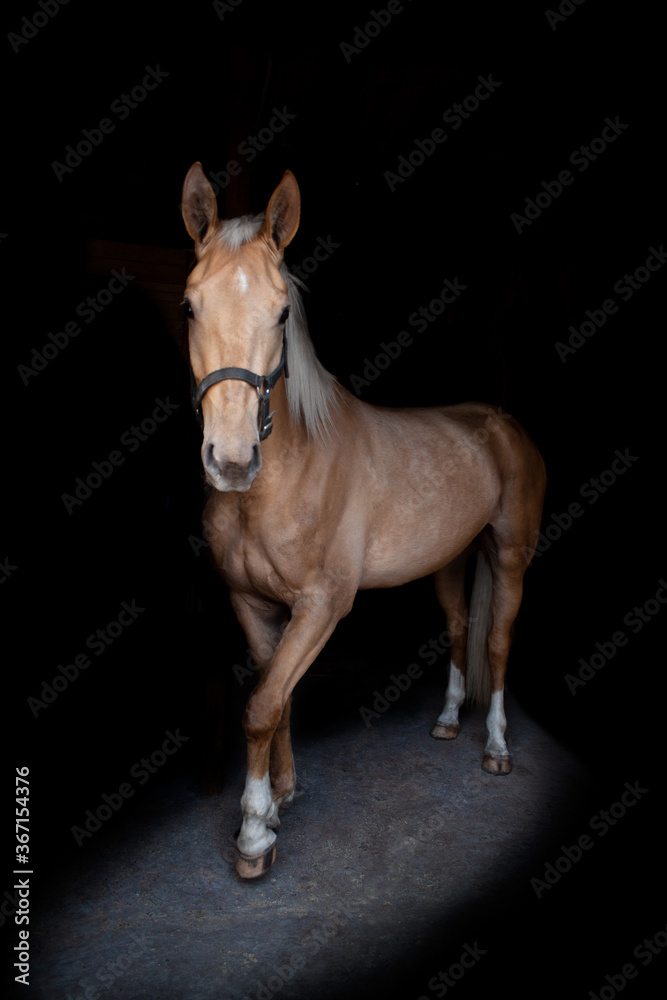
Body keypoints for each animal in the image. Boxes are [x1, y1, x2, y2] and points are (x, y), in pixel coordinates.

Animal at [181, 164, 546, 878]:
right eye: (189, 306)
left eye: (283, 313)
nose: (232, 460)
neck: (285, 476)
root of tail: (500, 422)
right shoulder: (251, 604)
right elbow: (277, 697)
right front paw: (280, 799)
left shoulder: (323, 605)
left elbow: (261, 706)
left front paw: (254, 835)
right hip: (450, 561)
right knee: (460, 629)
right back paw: (448, 722)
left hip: (511, 556)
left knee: (496, 642)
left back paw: (494, 748)